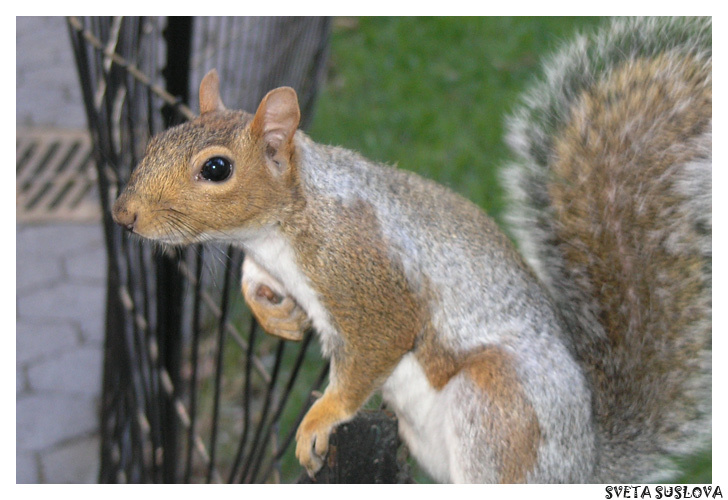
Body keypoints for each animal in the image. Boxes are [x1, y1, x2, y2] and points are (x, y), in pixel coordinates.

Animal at [111, 17, 711, 483]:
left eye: (216, 169)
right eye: (157, 140)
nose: (124, 214)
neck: (285, 223)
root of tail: (584, 467)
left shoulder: (364, 271)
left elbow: (376, 347)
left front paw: (321, 416)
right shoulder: (269, 257)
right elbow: (253, 282)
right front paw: (275, 315)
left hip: (501, 411)